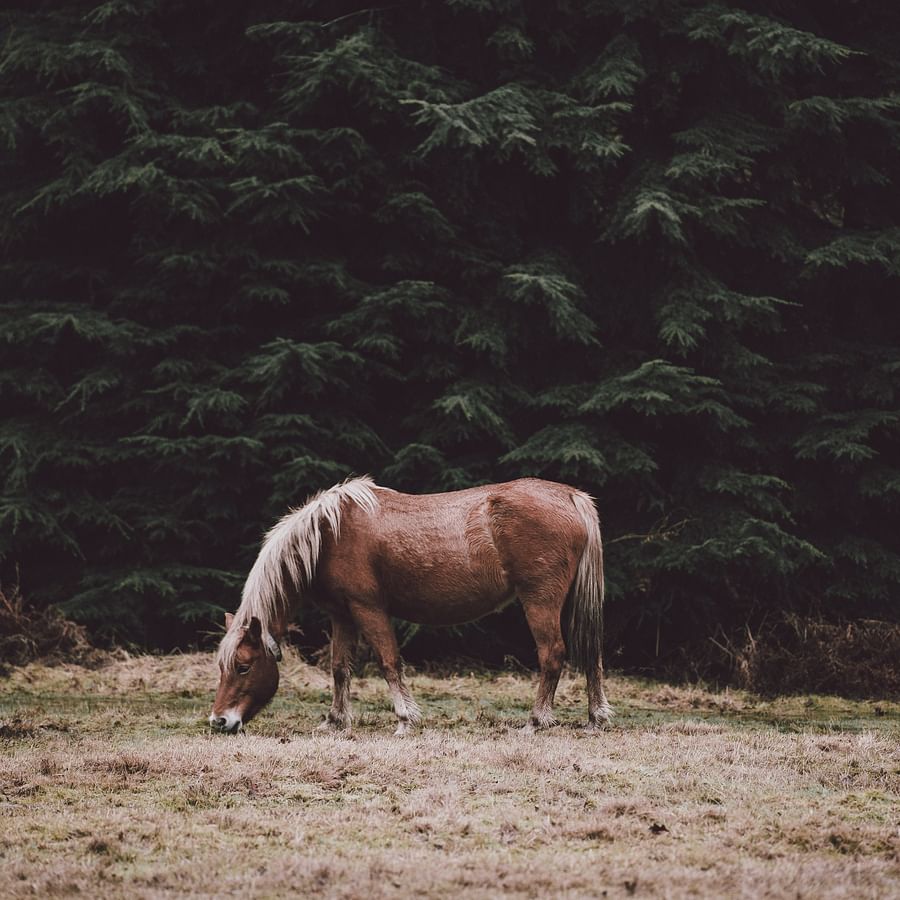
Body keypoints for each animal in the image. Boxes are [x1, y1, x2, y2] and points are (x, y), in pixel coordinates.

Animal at [209, 476, 611, 736]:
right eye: (222, 667)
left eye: (243, 666)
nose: (219, 721)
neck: (329, 535)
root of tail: (571, 496)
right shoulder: (342, 615)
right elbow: (340, 669)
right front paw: (335, 721)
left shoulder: (368, 609)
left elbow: (389, 662)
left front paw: (405, 719)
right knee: (591, 654)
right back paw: (595, 718)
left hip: (539, 600)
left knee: (552, 655)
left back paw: (535, 721)